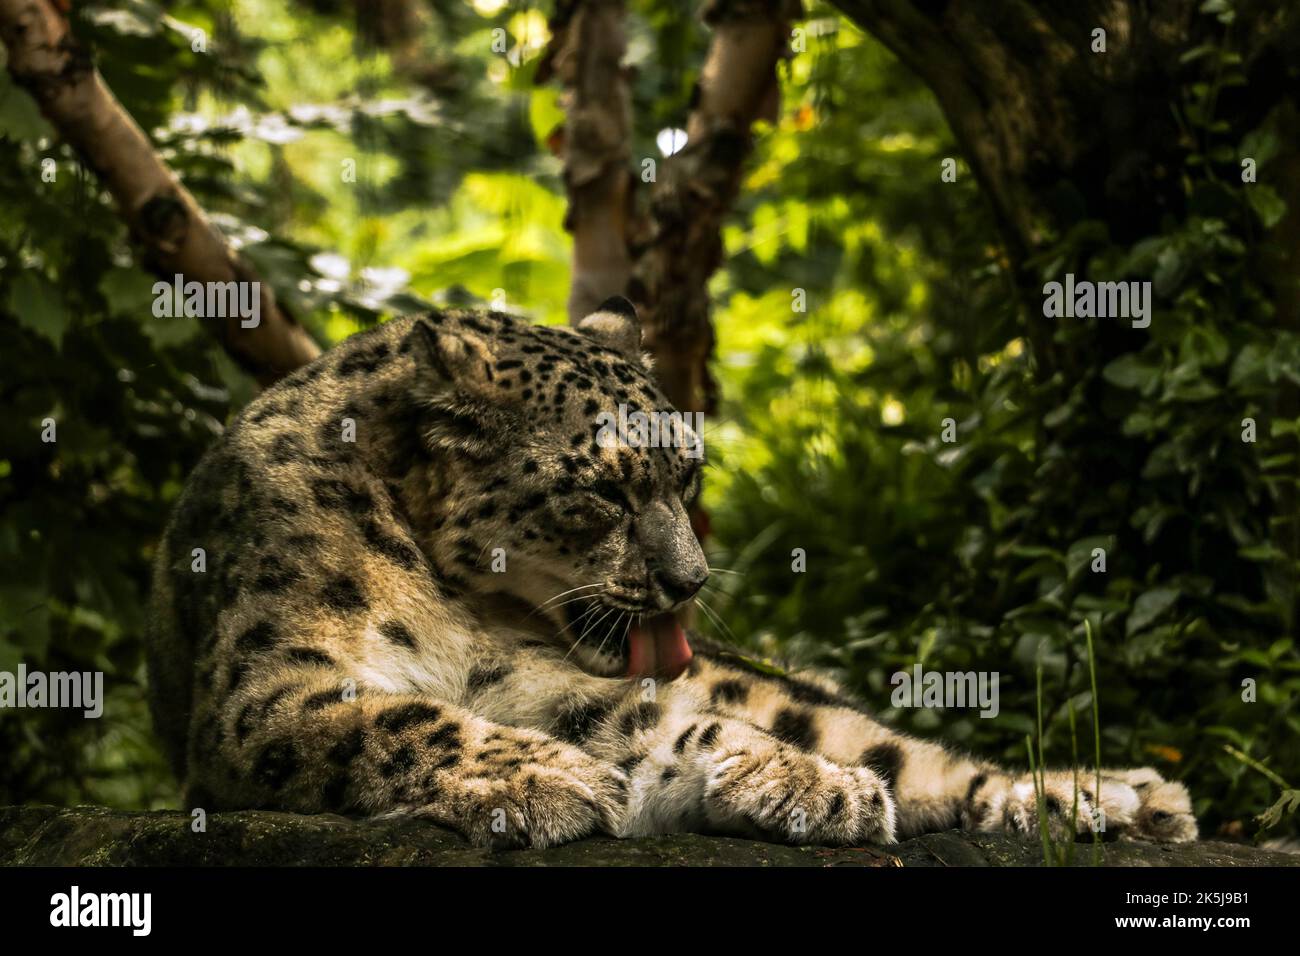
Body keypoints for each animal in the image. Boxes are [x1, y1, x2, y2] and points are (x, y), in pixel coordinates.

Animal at [145, 297, 1198, 849]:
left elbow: (653, 722)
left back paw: (1109, 797)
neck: (454, 604)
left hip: (776, 686)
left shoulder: (529, 678)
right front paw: (547, 778)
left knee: (905, 750)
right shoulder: (265, 689)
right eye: (604, 493)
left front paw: (805, 781)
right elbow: (399, 720)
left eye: (687, 474)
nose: (691, 582)